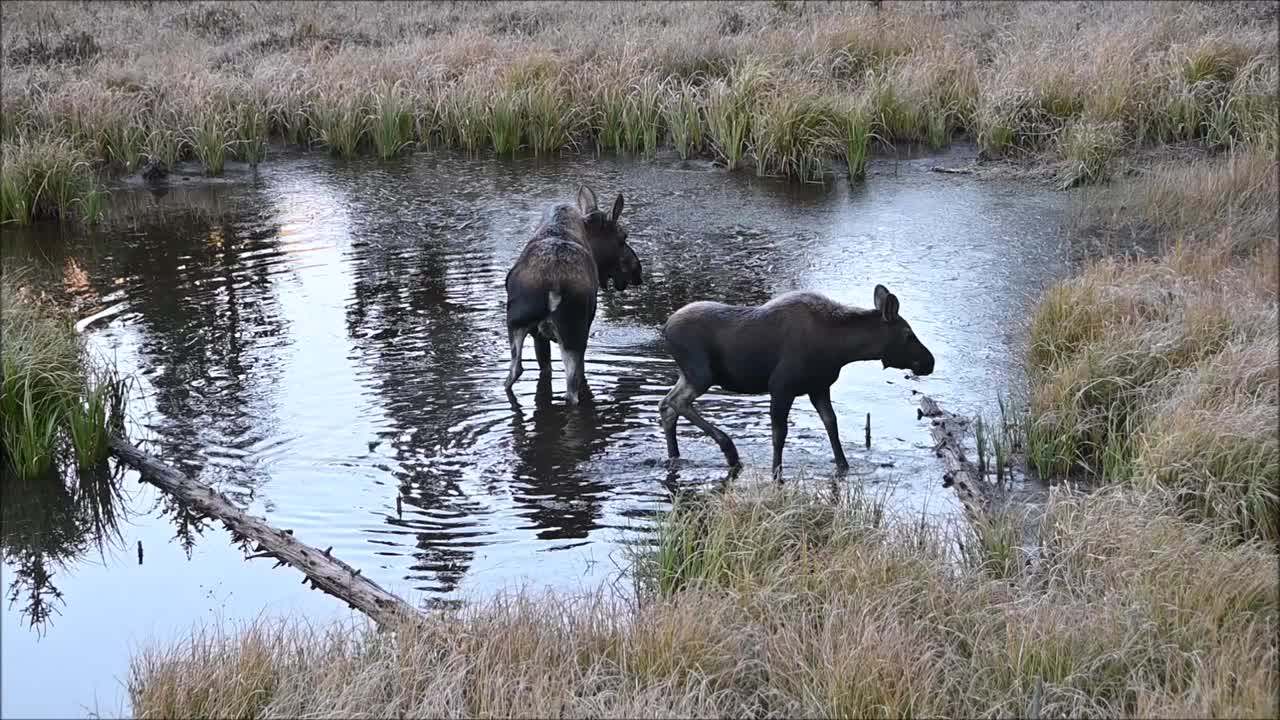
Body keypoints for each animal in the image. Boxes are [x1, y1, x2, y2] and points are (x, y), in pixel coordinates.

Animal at [501, 184, 637, 404]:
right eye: (623, 237)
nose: (637, 271)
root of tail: (553, 287)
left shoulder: (538, 335)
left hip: (516, 324)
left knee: (514, 372)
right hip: (575, 334)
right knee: (572, 390)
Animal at [660, 284, 931, 476]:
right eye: (908, 334)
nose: (930, 361)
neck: (841, 349)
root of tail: (664, 329)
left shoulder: (819, 387)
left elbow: (831, 424)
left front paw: (843, 465)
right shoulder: (781, 386)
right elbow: (779, 434)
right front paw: (776, 472)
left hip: (688, 374)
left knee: (666, 405)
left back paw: (675, 456)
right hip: (701, 374)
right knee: (677, 402)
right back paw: (730, 451)